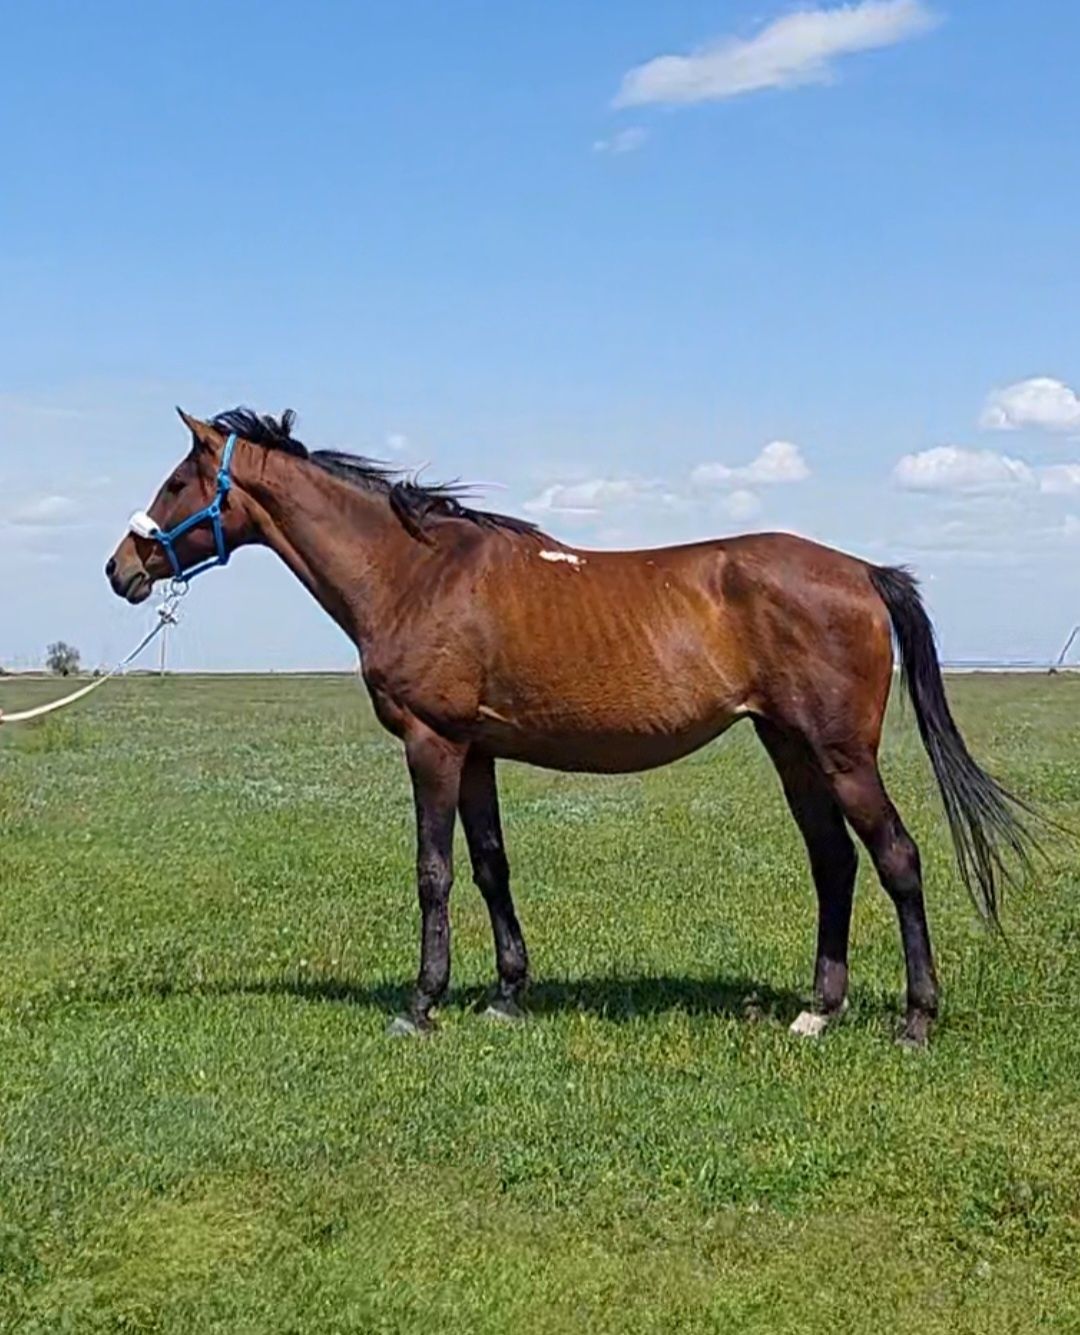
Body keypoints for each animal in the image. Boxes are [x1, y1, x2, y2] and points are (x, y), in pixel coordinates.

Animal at [105, 405, 1030, 1041]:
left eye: (177, 482)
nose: (120, 568)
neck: (415, 572)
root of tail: (865, 572)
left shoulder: (432, 743)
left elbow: (434, 871)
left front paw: (422, 1002)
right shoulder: (474, 751)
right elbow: (490, 866)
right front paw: (507, 994)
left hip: (842, 754)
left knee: (897, 858)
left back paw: (915, 1018)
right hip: (790, 747)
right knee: (833, 862)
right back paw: (817, 1011)